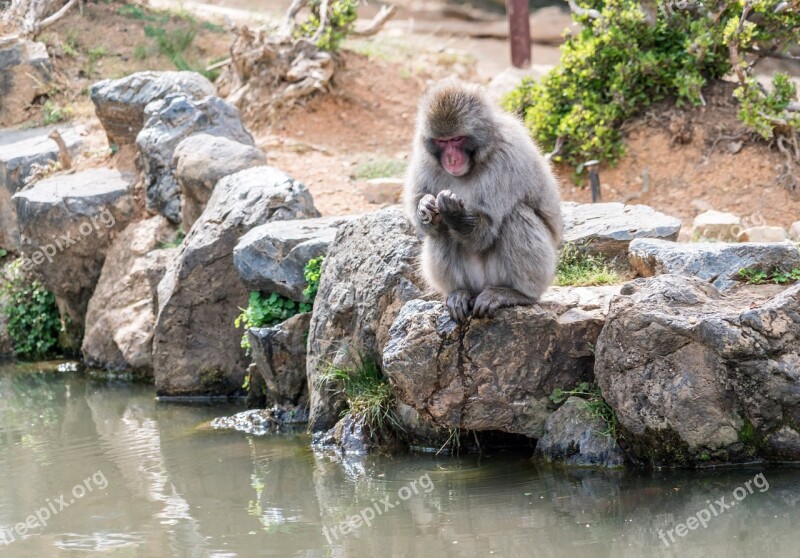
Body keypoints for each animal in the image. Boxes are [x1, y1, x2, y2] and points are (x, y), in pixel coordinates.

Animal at [404, 78, 564, 324]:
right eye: (442, 141)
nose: (451, 159)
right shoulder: (424, 156)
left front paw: (454, 212)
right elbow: (423, 215)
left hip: (521, 274)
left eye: (457, 139)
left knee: (517, 215)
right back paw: (459, 293)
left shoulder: (507, 157)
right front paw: (425, 206)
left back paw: (517, 293)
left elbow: (485, 230)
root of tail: (481, 287)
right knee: (439, 231)